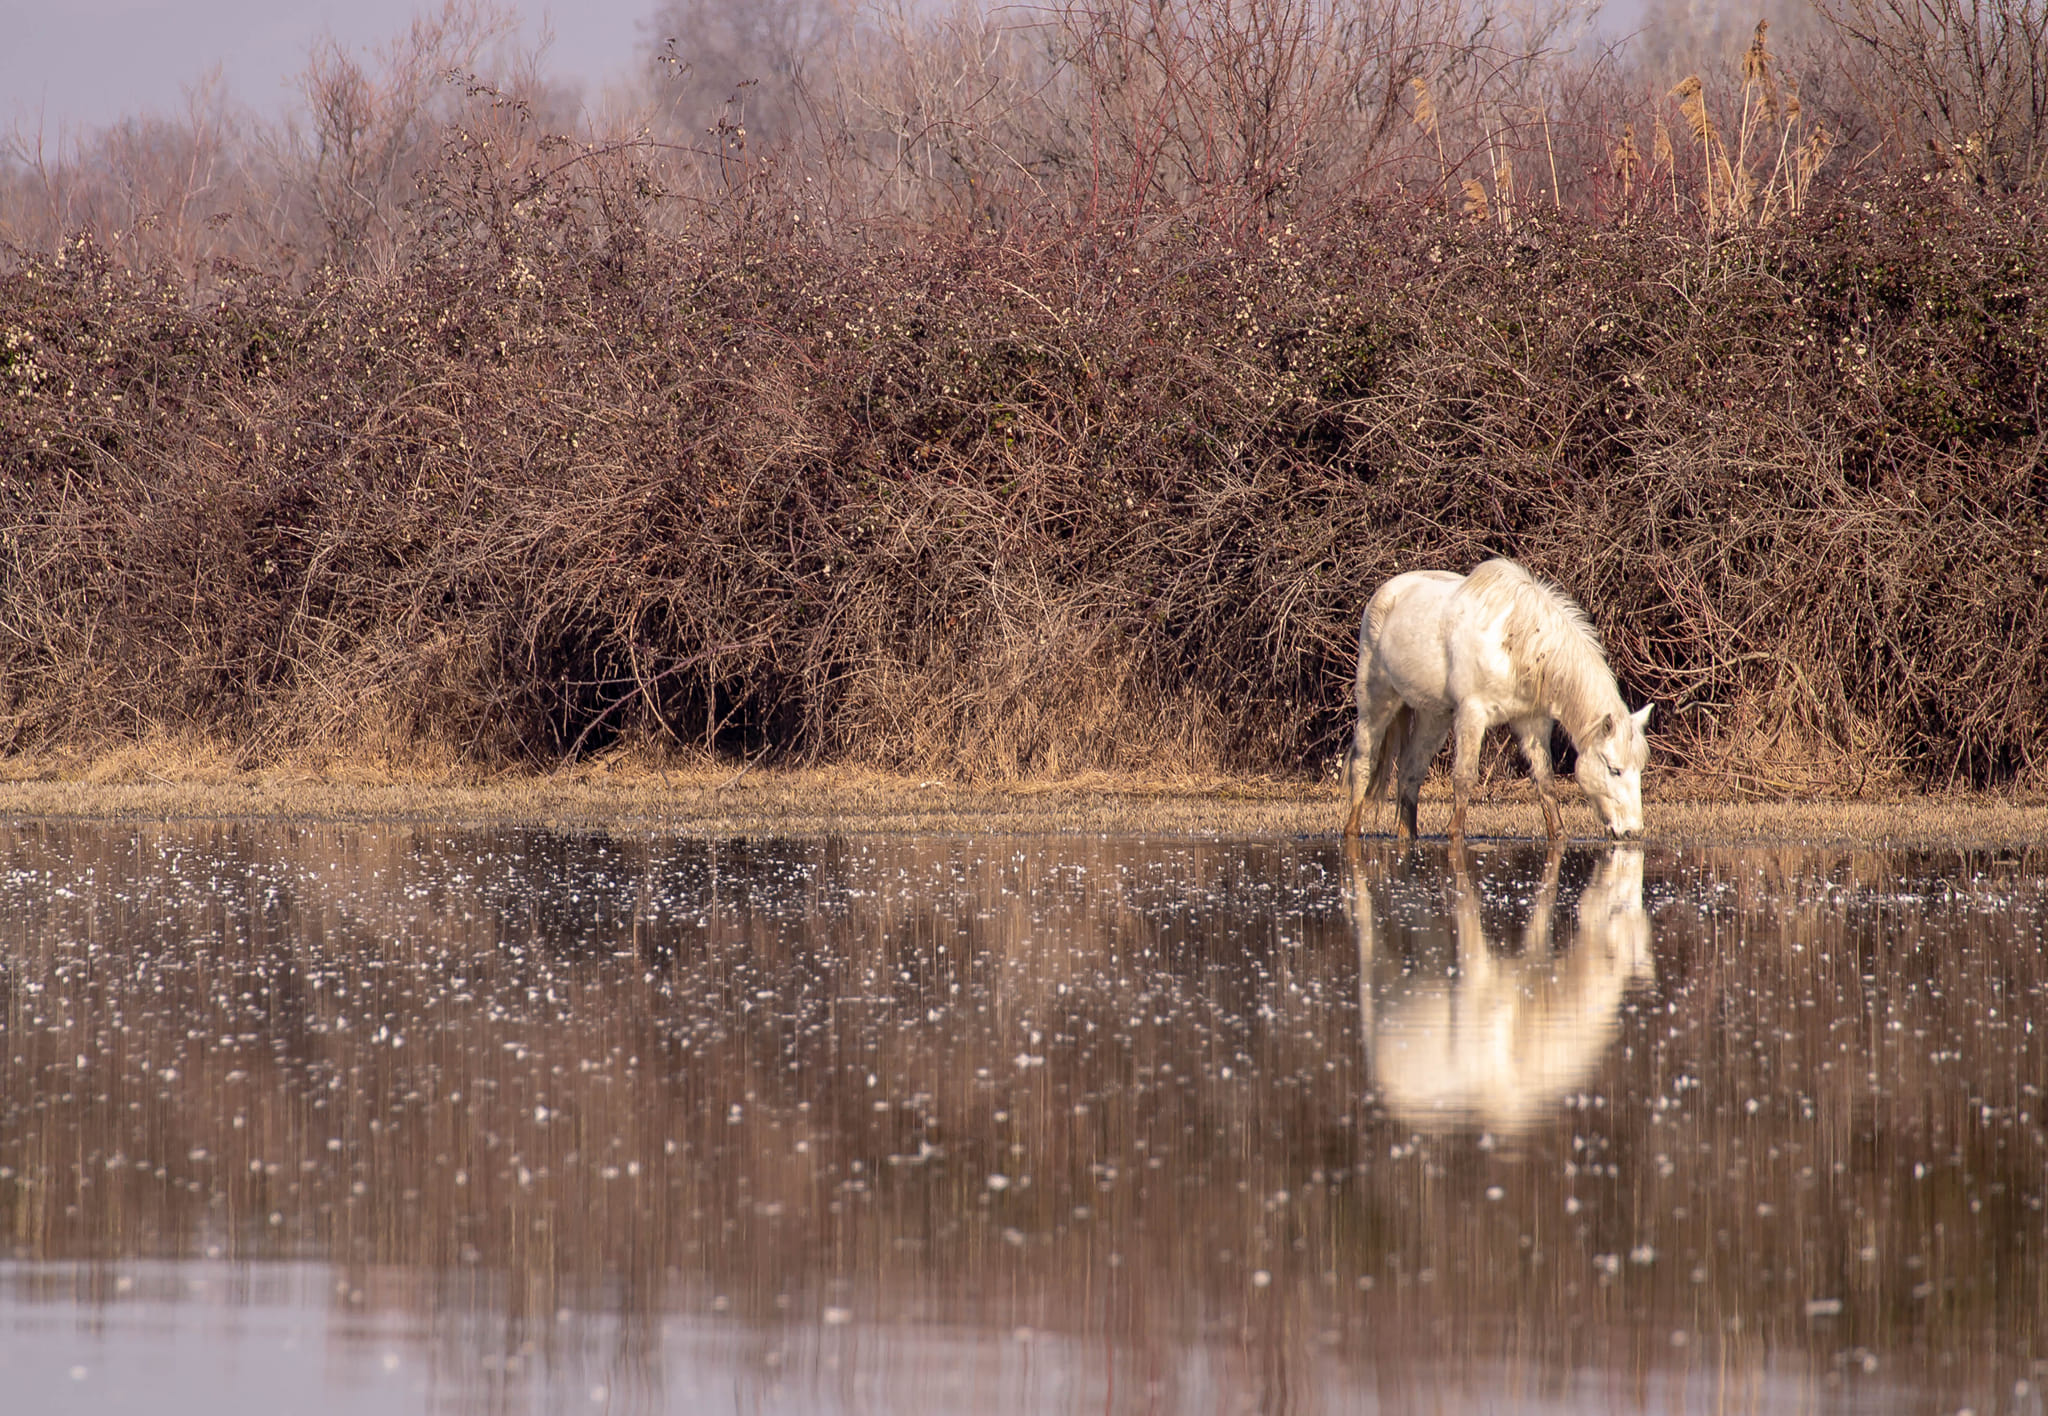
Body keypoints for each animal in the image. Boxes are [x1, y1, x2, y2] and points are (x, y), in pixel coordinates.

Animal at [1335, 557, 1654, 848]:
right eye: (1614, 769)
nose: (1632, 831)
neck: (1517, 643)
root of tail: (1386, 593)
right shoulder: (1472, 715)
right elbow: (1464, 777)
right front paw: (1455, 834)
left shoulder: (1532, 722)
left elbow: (1545, 780)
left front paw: (1559, 834)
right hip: (1377, 701)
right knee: (1363, 763)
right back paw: (1351, 829)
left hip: (1433, 716)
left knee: (1410, 772)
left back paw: (1407, 836)